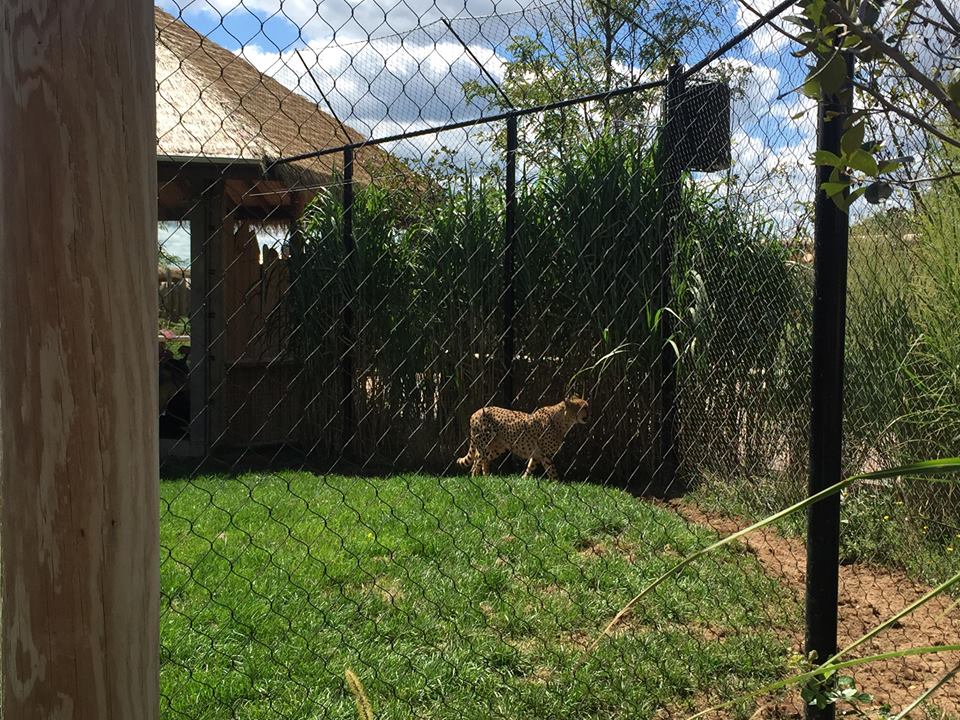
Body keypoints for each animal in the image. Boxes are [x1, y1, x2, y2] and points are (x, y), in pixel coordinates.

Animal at [455, 396, 589, 480]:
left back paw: (486, 478)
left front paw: (524, 479)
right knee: (477, 460)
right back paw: (475, 479)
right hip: (485, 444)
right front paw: (557, 485)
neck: (563, 419)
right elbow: (552, 471)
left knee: (484, 460)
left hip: (497, 448)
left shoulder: (536, 454)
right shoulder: (545, 455)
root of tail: (476, 412)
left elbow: (530, 467)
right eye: (584, 408)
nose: (589, 415)